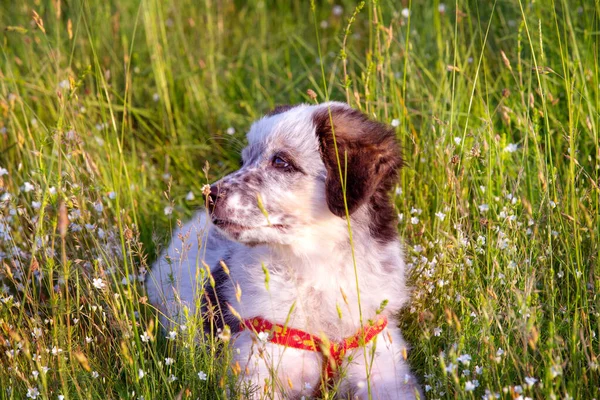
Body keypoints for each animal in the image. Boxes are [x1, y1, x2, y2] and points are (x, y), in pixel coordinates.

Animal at [149, 101, 422, 398]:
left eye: (281, 162)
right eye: (244, 161)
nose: (209, 194)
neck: (316, 267)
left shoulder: (382, 366)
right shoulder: (258, 367)